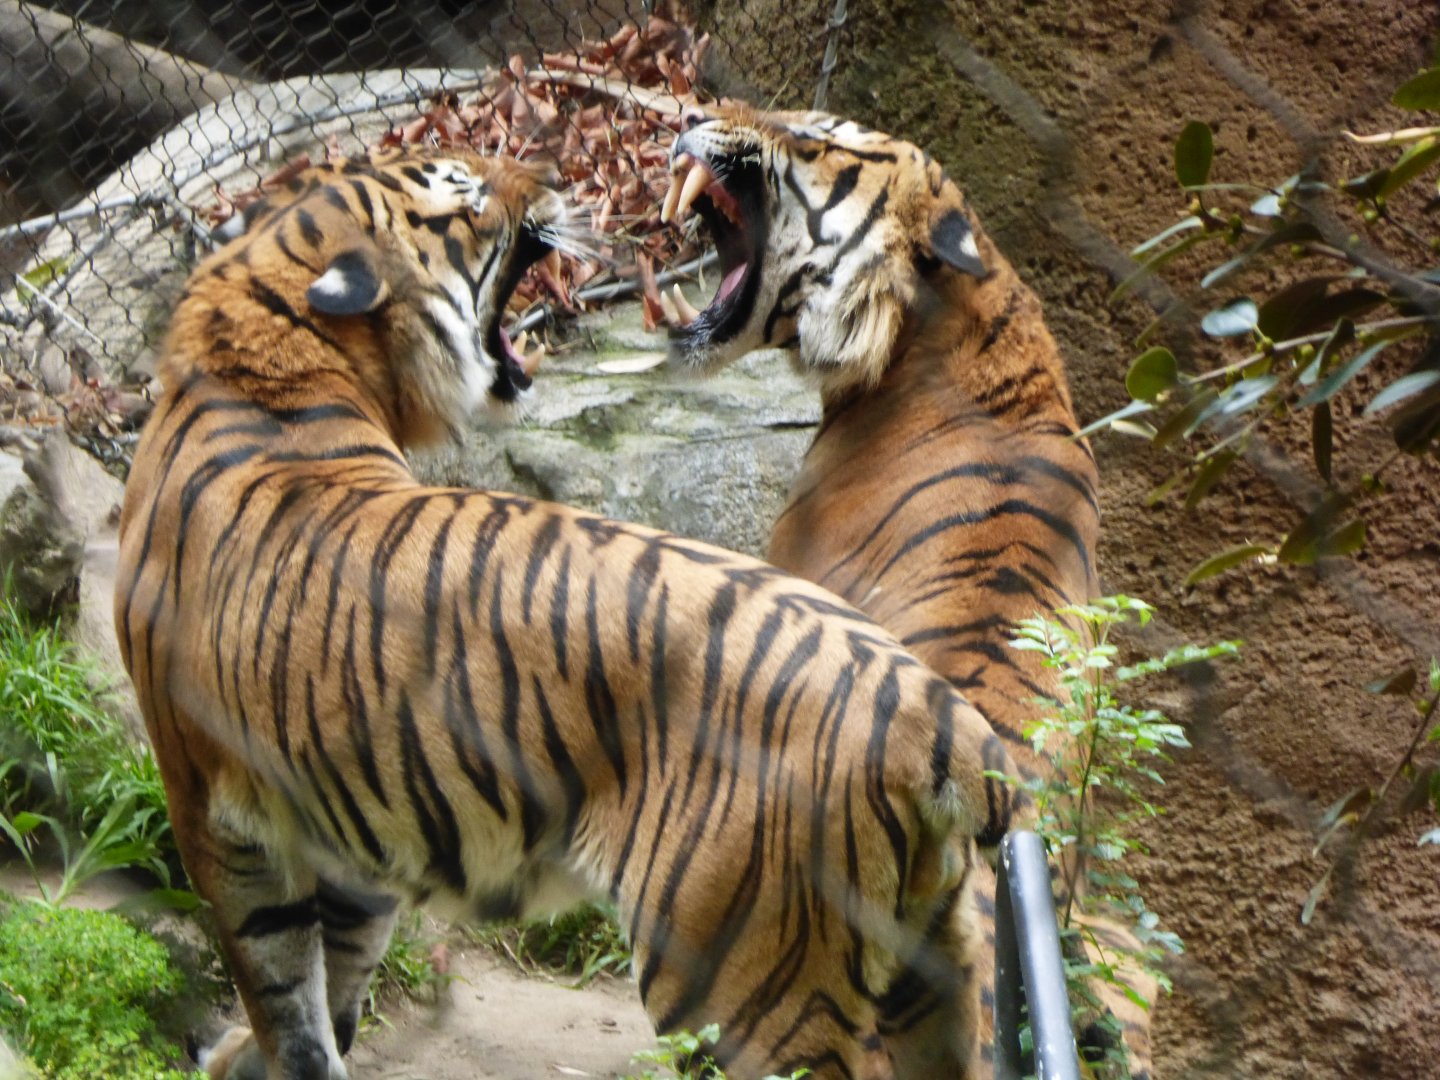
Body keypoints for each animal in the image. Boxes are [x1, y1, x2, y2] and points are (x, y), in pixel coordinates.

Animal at [113, 144, 1028, 1080]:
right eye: (466, 193)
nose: (548, 174)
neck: (267, 348)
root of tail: (940, 714)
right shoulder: (319, 817)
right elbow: (325, 983)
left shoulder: (219, 803)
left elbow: (284, 987)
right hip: (931, 969)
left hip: (743, 980)